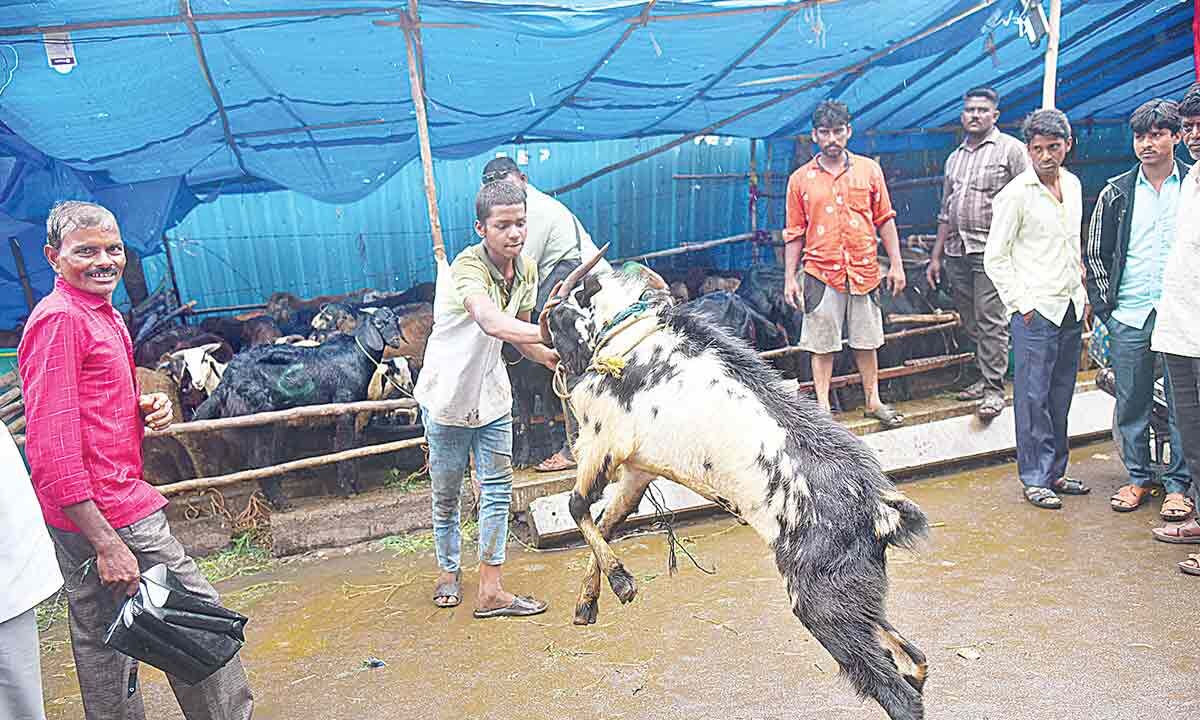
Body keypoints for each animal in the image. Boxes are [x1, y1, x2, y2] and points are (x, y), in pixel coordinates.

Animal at [192, 306, 405, 508]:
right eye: (379, 323)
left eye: (396, 321)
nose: (396, 340)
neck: (357, 354)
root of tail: (226, 382)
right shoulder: (344, 407)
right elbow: (344, 447)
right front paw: (348, 489)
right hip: (261, 417)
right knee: (259, 460)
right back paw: (280, 502)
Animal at [542, 255, 926, 720]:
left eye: (563, 309)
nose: (549, 334)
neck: (625, 335)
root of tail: (878, 510)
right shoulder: (638, 469)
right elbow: (606, 521)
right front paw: (587, 603)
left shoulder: (604, 442)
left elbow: (577, 506)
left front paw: (621, 584)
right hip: (858, 595)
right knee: (914, 661)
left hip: (821, 601)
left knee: (897, 690)